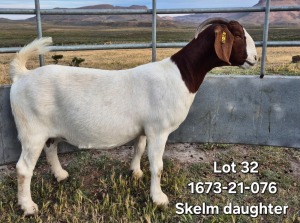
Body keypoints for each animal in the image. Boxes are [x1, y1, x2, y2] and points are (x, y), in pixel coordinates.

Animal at [10, 18, 256, 215]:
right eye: (237, 34)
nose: (254, 57)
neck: (181, 75)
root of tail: (22, 76)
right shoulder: (158, 129)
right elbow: (157, 166)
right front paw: (159, 199)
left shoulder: (144, 128)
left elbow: (138, 148)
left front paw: (135, 172)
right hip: (32, 130)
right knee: (24, 168)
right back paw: (28, 207)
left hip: (47, 130)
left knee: (51, 148)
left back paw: (61, 175)